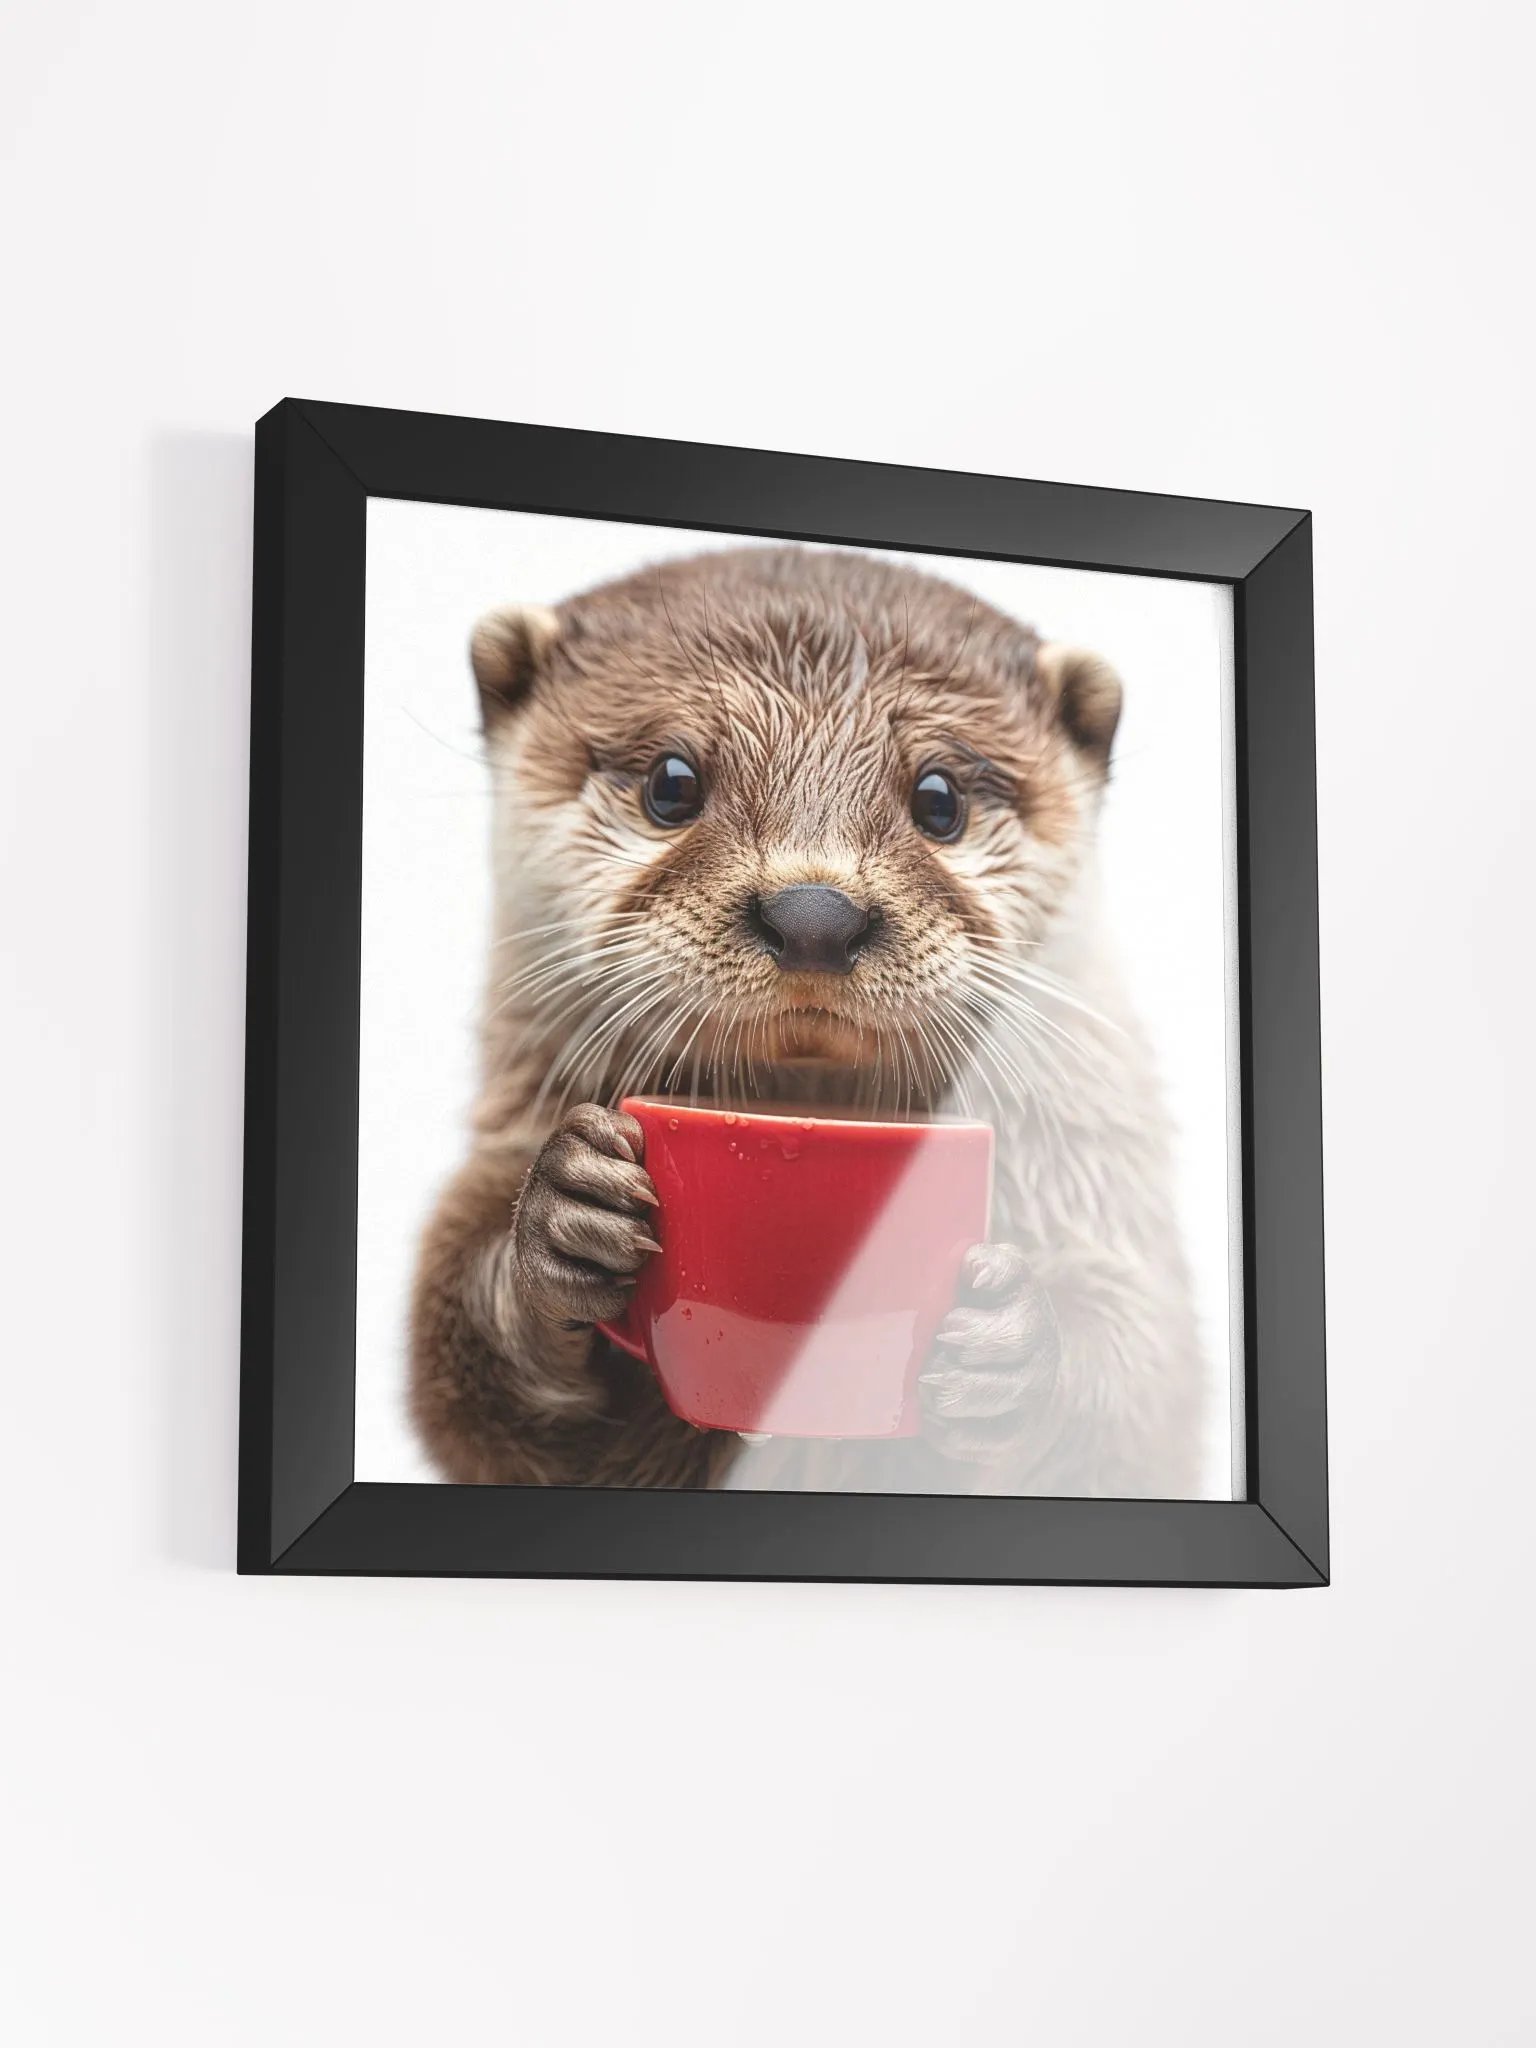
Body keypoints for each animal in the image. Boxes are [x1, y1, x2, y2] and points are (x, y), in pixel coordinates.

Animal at [410, 547, 1204, 1497]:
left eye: (939, 798)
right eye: (672, 782)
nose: (816, 914)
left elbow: (1135, 1395)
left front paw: (1016, 1350)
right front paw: (560, 1220)